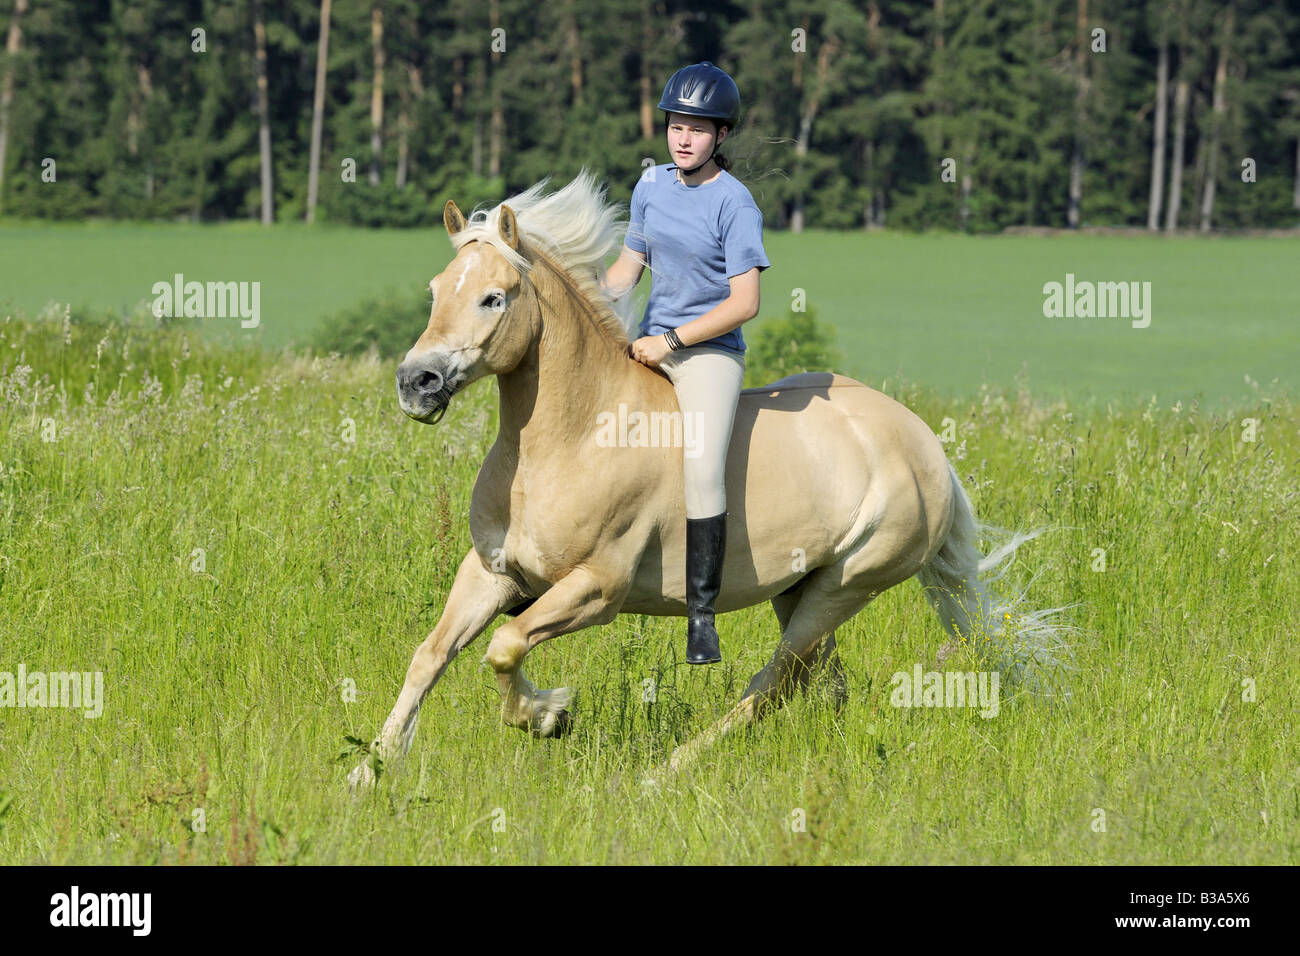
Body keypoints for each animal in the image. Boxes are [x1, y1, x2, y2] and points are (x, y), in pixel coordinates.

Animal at [347, 169, 1073, 788]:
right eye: (436, 292)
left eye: (493, 297)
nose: (417, 383)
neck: (571, 438)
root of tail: (925, 445)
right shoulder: (494, 573)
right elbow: (431, 654)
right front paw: (370, 770)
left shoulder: (595, 589)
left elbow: (503, 647)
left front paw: (548, 715)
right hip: (801, 587)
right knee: (821, 681)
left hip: (846, 584)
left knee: (773, 682)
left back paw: (662, 775)